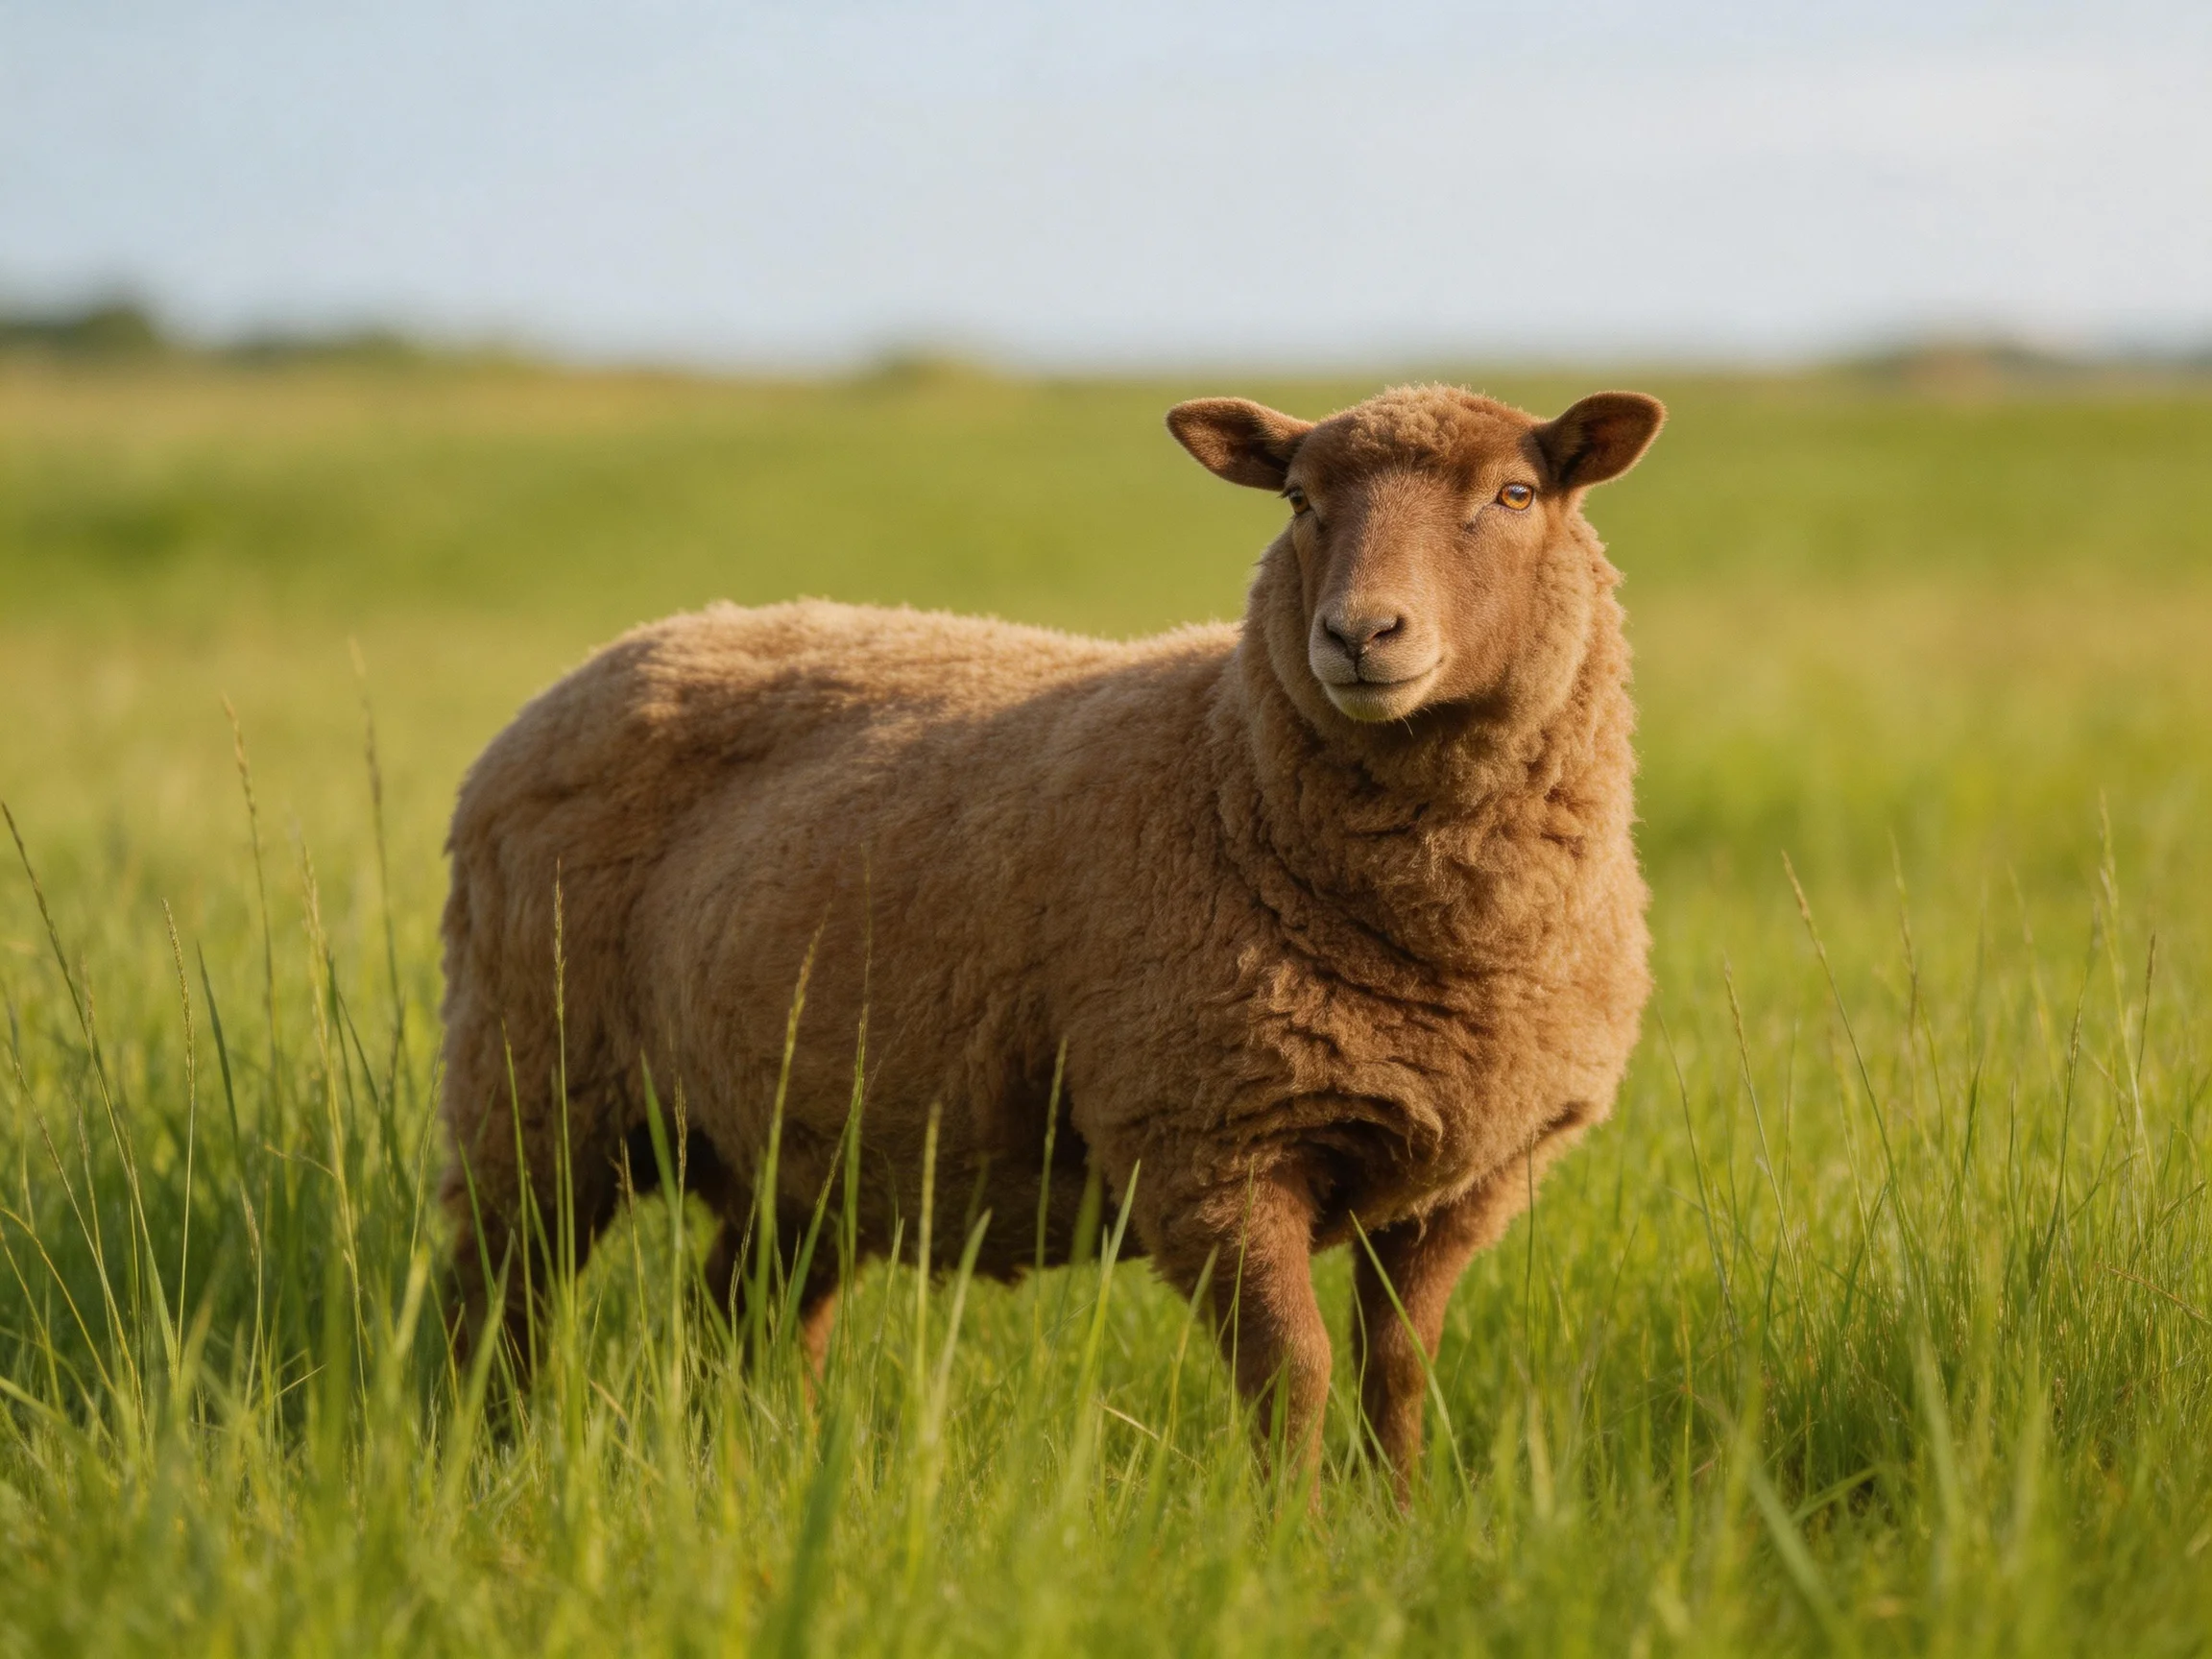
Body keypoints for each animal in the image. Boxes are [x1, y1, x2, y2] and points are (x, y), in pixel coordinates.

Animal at [438, 382, 1664, 1488]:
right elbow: (1295, 1373)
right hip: (533, 1075)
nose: (1360, 634)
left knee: (740, 1310)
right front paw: (1293, 1542)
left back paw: (754, 1466)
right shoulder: (1206, 1142)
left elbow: (1399, 1373)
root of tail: (603, 662)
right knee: (496, 1295)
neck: (1230, 768)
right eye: (1300, 501)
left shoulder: (1474, 1177)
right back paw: (485, 1458)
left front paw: (1394, 1530)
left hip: (796, 1138)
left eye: (1514, 494)